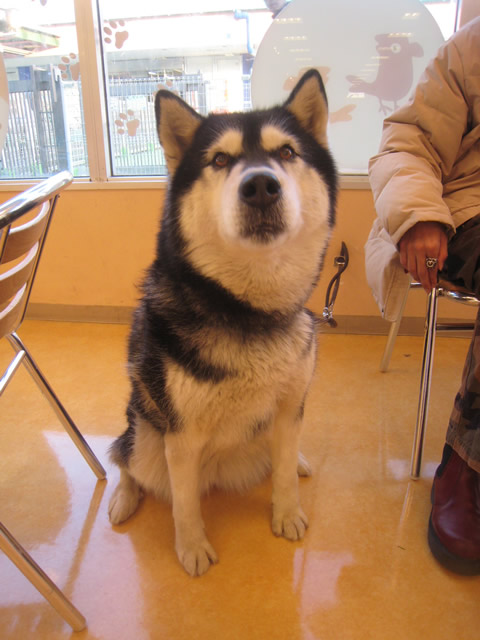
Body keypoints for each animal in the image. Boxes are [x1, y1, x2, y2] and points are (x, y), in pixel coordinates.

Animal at [108, 69, 337, 576]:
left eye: (286, 153)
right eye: (219, 160)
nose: (260, 186)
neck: (248, 309)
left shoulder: (291, 406)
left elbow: (283, 473)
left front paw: (286, 513)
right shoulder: (181, 437)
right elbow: (185, 505)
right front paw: (192, 547)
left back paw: (300, 461)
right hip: (146, 434)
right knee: (125, 459)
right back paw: (122, 499)